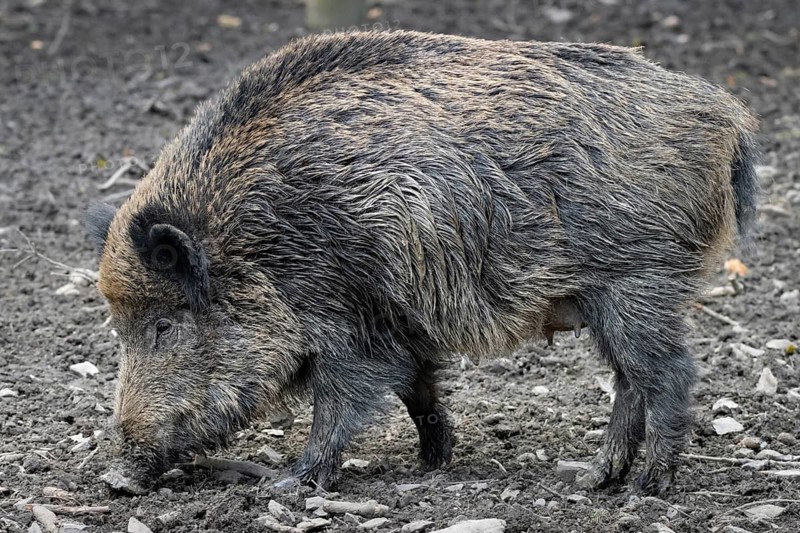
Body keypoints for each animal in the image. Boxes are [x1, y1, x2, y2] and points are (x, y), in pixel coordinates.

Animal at [86, 30, 758, 495]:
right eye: (119, 329)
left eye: (163, 325)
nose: (117, 477)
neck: (256, 245)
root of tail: (726, 115)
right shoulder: (398, 323)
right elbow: (418, 386)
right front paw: (434, 462)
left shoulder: (345, 317)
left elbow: (344, 399)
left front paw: (291, 484)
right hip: (609, 297)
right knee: (628, 380)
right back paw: (595, 479)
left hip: (639, 282)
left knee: (667, 373)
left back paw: (646, 487)